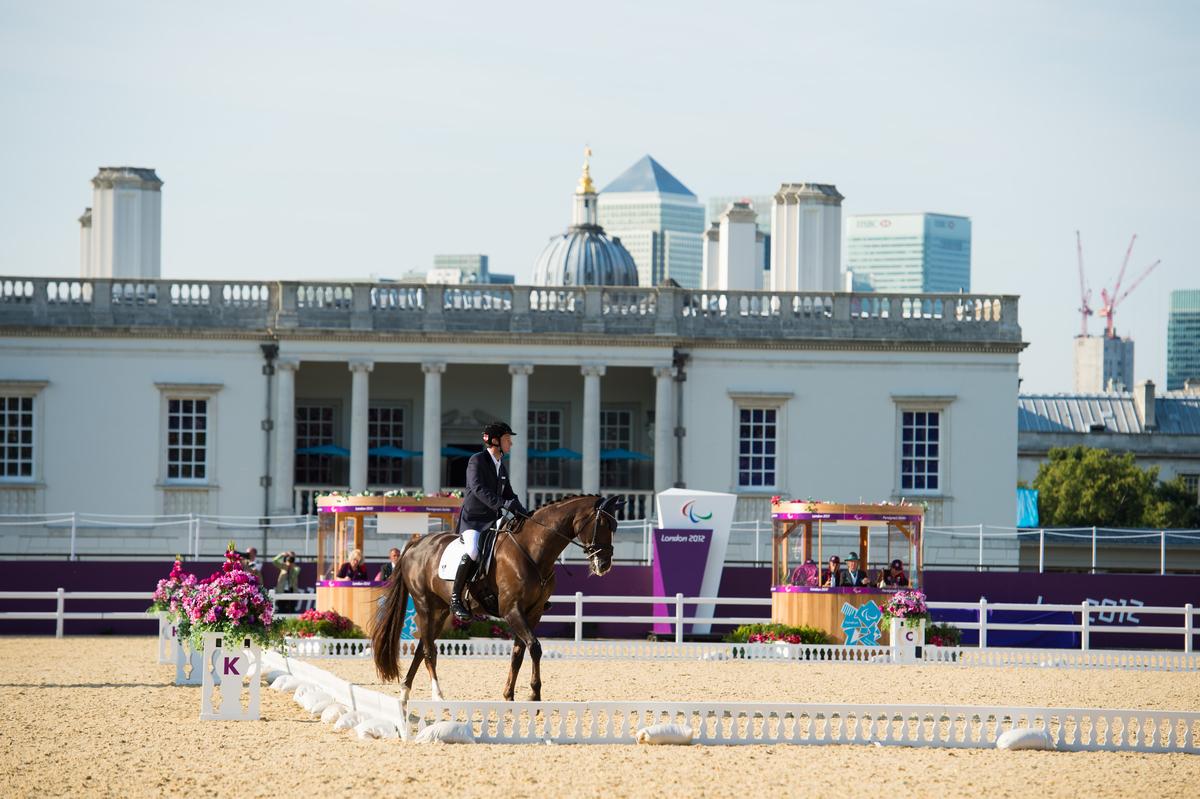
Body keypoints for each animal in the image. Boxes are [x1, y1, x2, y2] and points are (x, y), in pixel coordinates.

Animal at [372, 491, 619, 705]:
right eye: (603, 524)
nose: (604, 565)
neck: (532, 550)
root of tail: (417, 543)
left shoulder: (533, 612)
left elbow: (519, 653)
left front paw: (509, 695)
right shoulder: (512, 610)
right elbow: (535, 647)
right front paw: (534, 695)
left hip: (440, 610)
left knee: (423, 646)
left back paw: (404, 695)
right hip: (424, 604)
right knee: (428, 650)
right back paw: (438, 695)